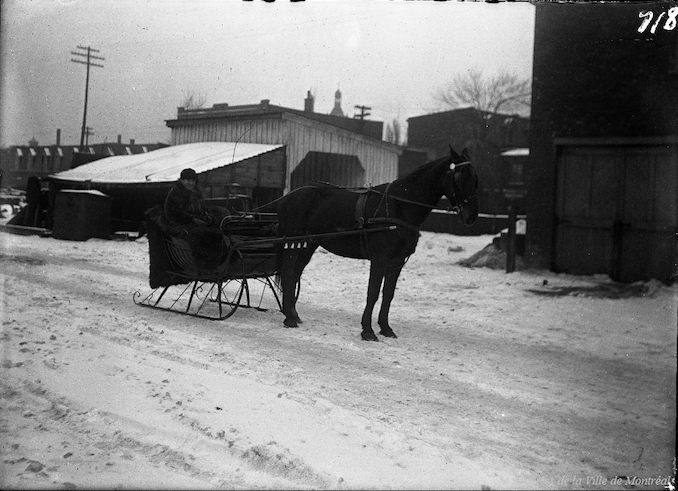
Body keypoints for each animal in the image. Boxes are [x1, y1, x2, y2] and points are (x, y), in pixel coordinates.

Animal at [274, 144, 478, 340]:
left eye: (475, 179)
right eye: (459, 178)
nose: (471, 217)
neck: (399, 207)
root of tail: (291, 195)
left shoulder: (397, 262)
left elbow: (388, 294)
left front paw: (386, 328)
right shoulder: (380, 258)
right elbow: (372, 292)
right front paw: (367, 330)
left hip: (308, 245)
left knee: (295, 273)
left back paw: (292, 313)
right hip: (293, 242)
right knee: (288, 273)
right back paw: (289, 318)